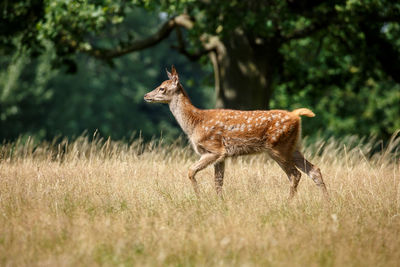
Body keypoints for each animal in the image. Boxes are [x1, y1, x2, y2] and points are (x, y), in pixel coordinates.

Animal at [144, 66, 328, 200]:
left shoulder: (214, 149)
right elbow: (218, 182)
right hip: (293, 146)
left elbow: (191, 171)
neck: (195, 123)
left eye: (162, 88)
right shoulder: (221, 156)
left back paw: (288, 202)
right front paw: (219, 202)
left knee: (295, 175)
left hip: (278, 147)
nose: (146, 95)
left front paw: (199, 197)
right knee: (314, 170)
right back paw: (327, 202)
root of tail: (296, 115)